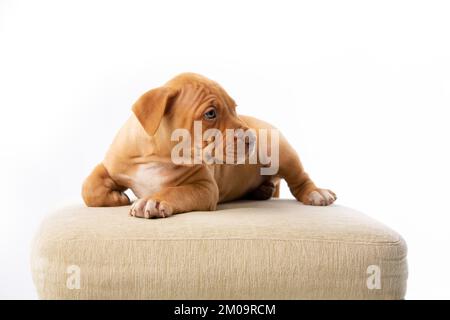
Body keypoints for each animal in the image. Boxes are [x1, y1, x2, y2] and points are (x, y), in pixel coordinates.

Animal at [81, 72, 336, 218]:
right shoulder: (112, 165)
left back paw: (316, 193)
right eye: (210, 113)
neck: (160, 154)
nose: (251, 139)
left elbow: (176, 191)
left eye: (234, 108)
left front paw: (154, 201)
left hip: (280, 151)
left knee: (300, 178)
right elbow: (89, 187)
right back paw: (261, 190)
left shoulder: (204, 187)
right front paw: (116, 198)